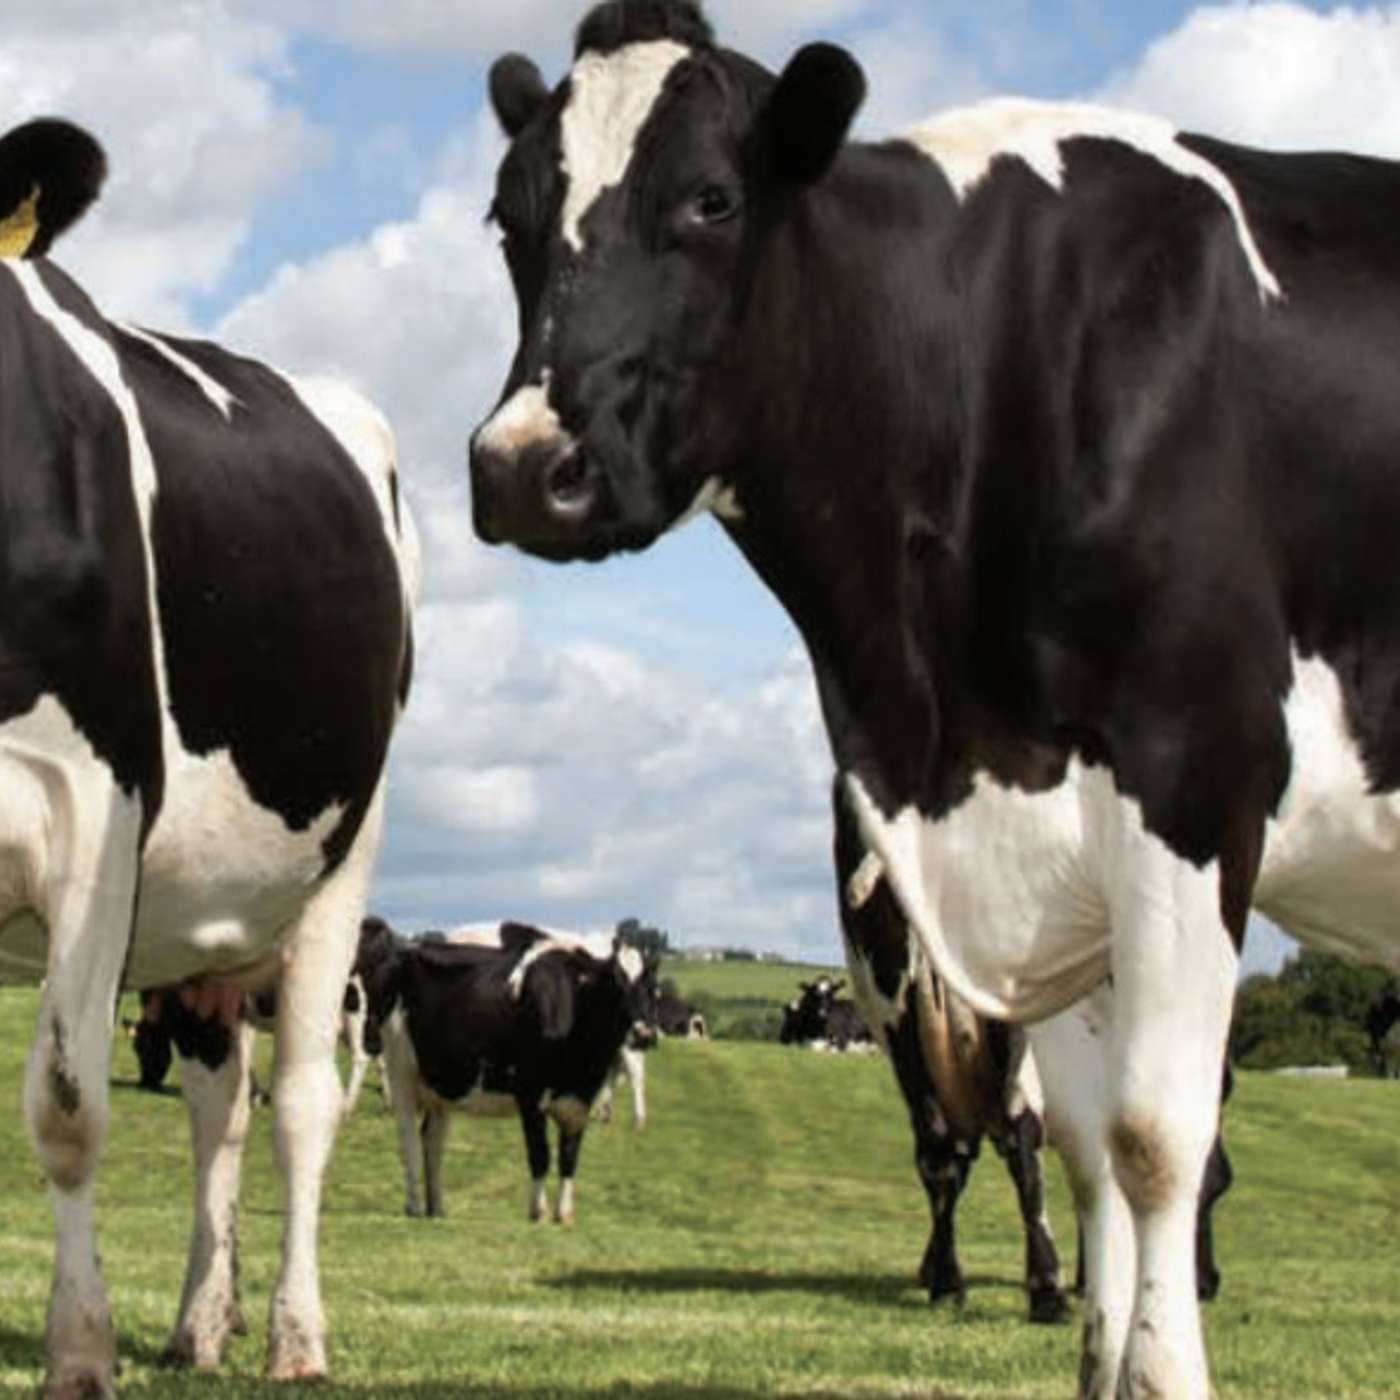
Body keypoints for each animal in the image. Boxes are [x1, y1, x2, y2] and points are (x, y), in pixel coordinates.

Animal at [0, 117, 417, 1397]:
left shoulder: (93, 807)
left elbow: (68, 1106)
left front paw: (78, 1348)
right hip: (201, 933)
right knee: (214, 1101)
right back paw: (200, 1319)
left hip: (341, 866)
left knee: (297, 1107)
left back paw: (292, 1333)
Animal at [358, 918, 660, 1222]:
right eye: (616, 984)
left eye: (652, 987)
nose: (643, 1034)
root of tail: (407, 951)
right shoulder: (529, 1093)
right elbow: (540, 1155)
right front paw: (538, 1211)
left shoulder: (579, 1102)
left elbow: (569, 1157)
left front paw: (564, 1214)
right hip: (401, 1069)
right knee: (407, 1137)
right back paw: (415, 1206)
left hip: (441, 1085)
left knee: (432, 1140)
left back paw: (437, 1208)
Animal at [463, 3, 1355, 1392]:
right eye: (507, 215)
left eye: (713, 198)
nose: (517, 469)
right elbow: (1078, 1149)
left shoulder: (1192, 778)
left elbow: (1151, 1145)